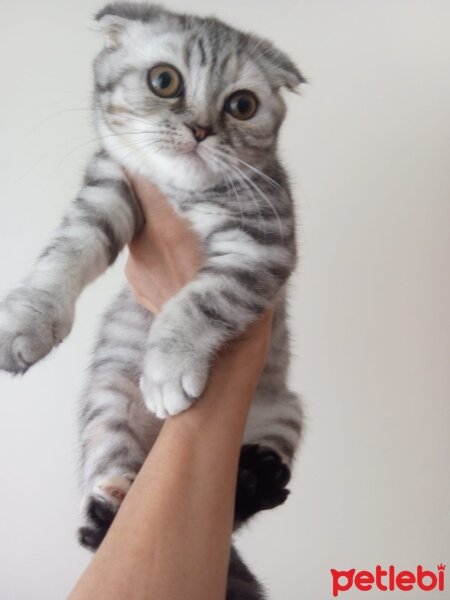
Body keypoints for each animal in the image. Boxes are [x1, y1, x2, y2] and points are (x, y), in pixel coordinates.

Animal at [0, 3, 304, 596]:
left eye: (243, 105)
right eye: (165, 81)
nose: (201, 128)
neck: (185, 194)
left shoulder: (262, 245)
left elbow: (200, 298)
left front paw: (169, 369)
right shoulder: (107, 189)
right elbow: (64, 253)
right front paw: (29, 320)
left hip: (283, 412)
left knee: (235, 506)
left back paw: (258, 477)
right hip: (108, 400)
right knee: (116, 473)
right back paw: (108, 509)